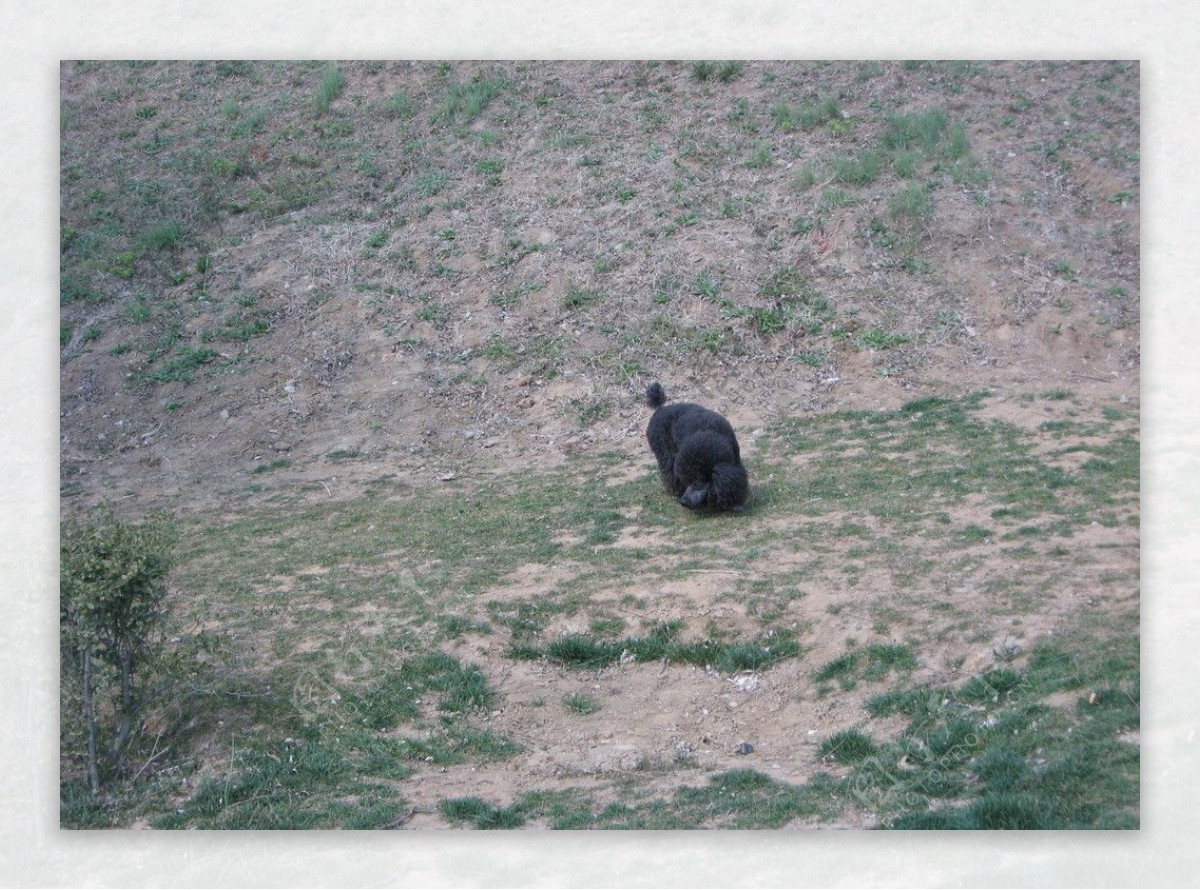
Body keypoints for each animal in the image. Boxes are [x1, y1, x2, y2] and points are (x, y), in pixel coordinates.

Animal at [648, 383, 748, 515]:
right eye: (686, 480)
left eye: (697, 482)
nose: (683, 502)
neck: (711, 432)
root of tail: (659, 409)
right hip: (665, 453)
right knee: (668, 472)